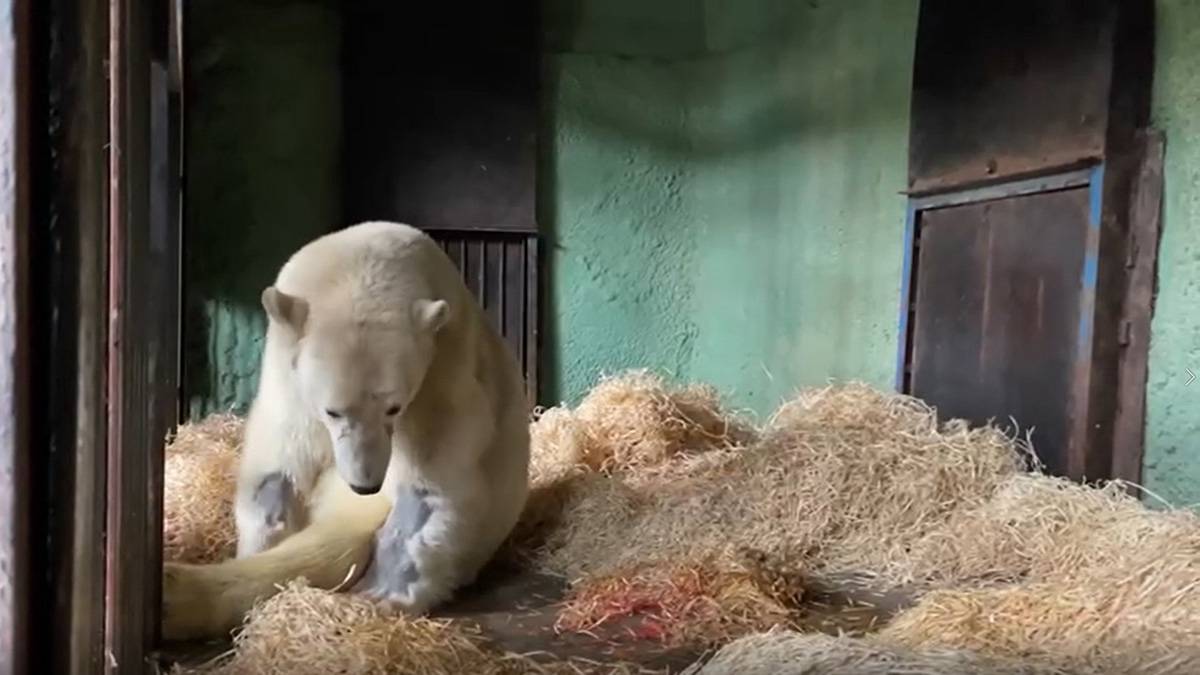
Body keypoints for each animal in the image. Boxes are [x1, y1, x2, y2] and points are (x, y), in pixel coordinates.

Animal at [158, 222, 530, 638]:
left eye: (393, 407)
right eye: (332, 411)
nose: (366, 485)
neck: (364, 257)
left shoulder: (444, 374)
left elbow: (431, 487)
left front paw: (382, 595)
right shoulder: (286, 371)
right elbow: (282, 461)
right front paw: (261, 540)